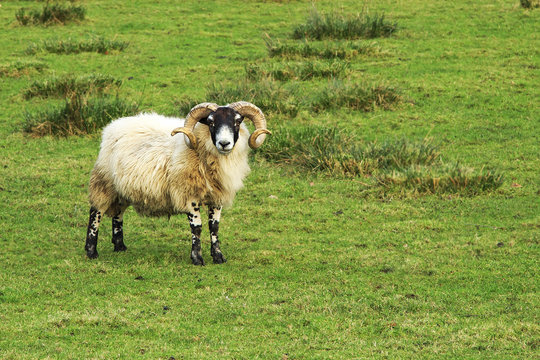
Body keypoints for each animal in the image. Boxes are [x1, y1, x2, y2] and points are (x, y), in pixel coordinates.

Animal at [84, 101, 270, 264]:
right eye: (211, 122)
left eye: (237, 121)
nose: (224, 143)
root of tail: (113, 125)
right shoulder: (187, 194)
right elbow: (197, 227)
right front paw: (197, 258)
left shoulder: (217, 196)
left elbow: (214, 227)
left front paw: (218, 257)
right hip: (105, 181)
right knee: (96, 212)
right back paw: (91, 251)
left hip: (123, 187)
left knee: (118, 213)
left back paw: (120, 246)